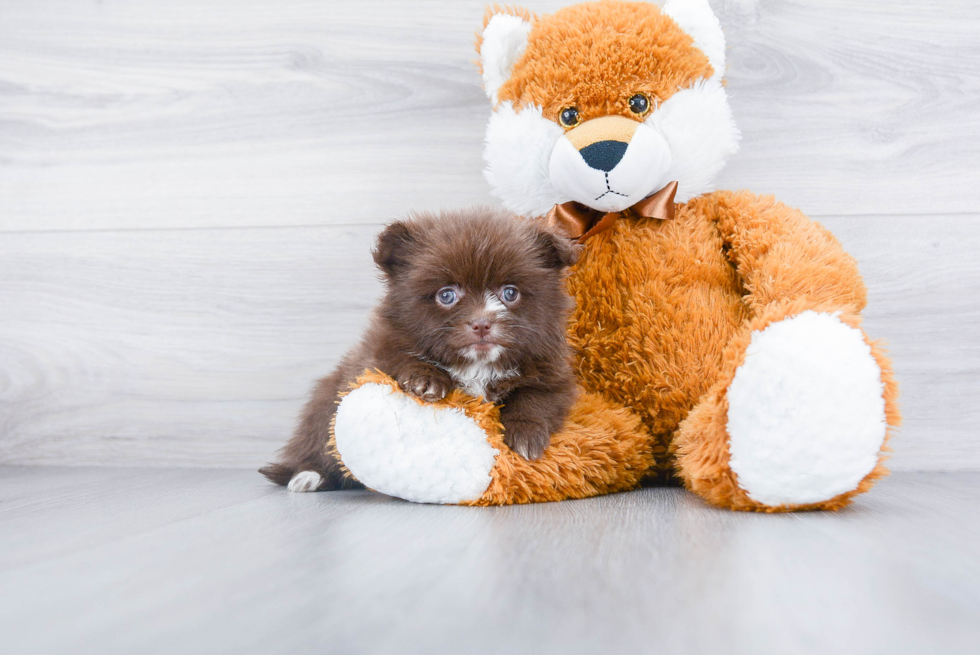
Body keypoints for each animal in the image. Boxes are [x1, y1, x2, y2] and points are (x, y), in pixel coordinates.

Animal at [262, 208, 580, 490]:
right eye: (447, 295)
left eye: (510, 293)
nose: (481, 323)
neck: (477, 366)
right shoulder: (378, 353)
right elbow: (401, 360)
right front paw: (425, 379)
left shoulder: (553, 373)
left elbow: (535, 397)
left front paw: (526, 434)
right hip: (324, 406)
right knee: (319, 448)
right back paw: (309, 476)